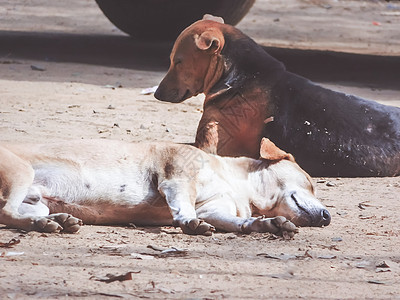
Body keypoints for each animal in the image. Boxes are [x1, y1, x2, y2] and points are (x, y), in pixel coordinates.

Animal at [0, 138, 332, 237]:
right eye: (310, 183)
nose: (328, 217)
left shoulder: (216, 211)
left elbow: (243, 223)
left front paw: (270, 224)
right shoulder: (177, 179)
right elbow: (183, 207)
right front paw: (188, 223)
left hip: (39, 201)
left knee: (21, 213)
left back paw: (54, 221)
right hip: (22, 173)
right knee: (6, 212)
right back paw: (45, 224)